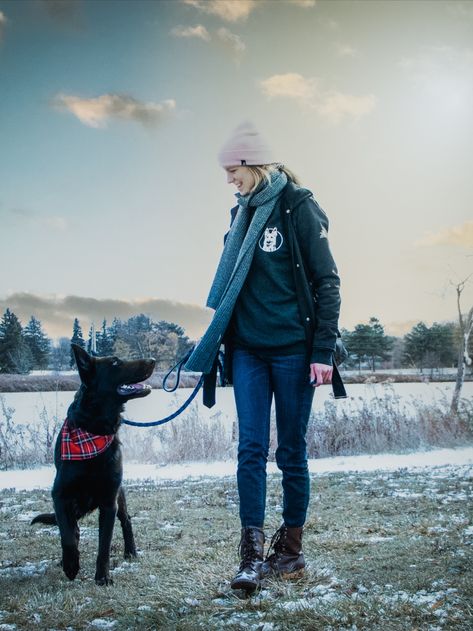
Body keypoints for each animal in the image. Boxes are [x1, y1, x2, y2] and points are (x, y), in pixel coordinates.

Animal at [31, 344, 157, 584]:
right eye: (115, 363)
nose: (153, 360)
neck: (94, 430)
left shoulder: (109, 501)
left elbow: (104, 546)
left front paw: (102, 577)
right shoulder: (60, 496)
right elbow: (67, 537)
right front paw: (71, 565)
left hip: (119, 495)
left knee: (126, 520)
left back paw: (131, 551)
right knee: (72, 529)